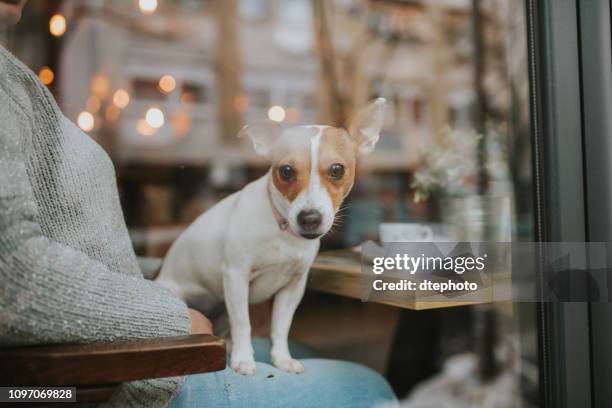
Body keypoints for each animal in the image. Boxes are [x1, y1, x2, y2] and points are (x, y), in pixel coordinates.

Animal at [158, 98, 388, 376]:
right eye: (286, 171)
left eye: (336, 170)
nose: (309, 218)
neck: (282, 232)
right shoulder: (236, 277)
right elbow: (243, 324)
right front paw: (243, 359)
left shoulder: (293, 288)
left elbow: (280, 326)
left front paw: (281, 359)